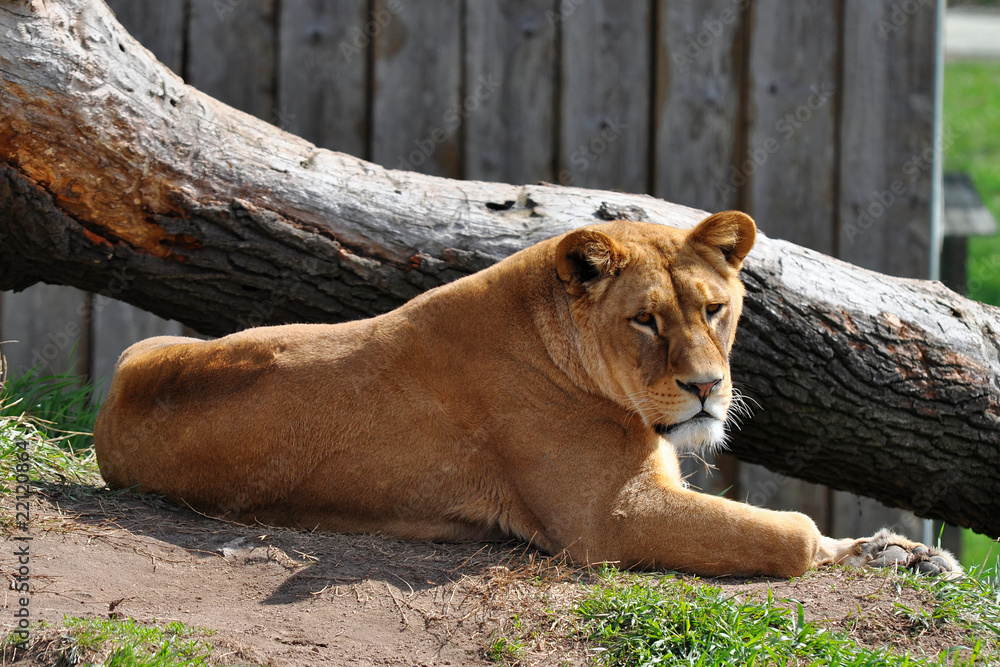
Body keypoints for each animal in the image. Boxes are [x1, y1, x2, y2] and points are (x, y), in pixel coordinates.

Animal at [93, 211, 960, 577]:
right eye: (646, 319)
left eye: (714, 308)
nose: (708, 386)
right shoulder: (608, 519)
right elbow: (787, 533)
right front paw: (855, 552)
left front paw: (905, 552)